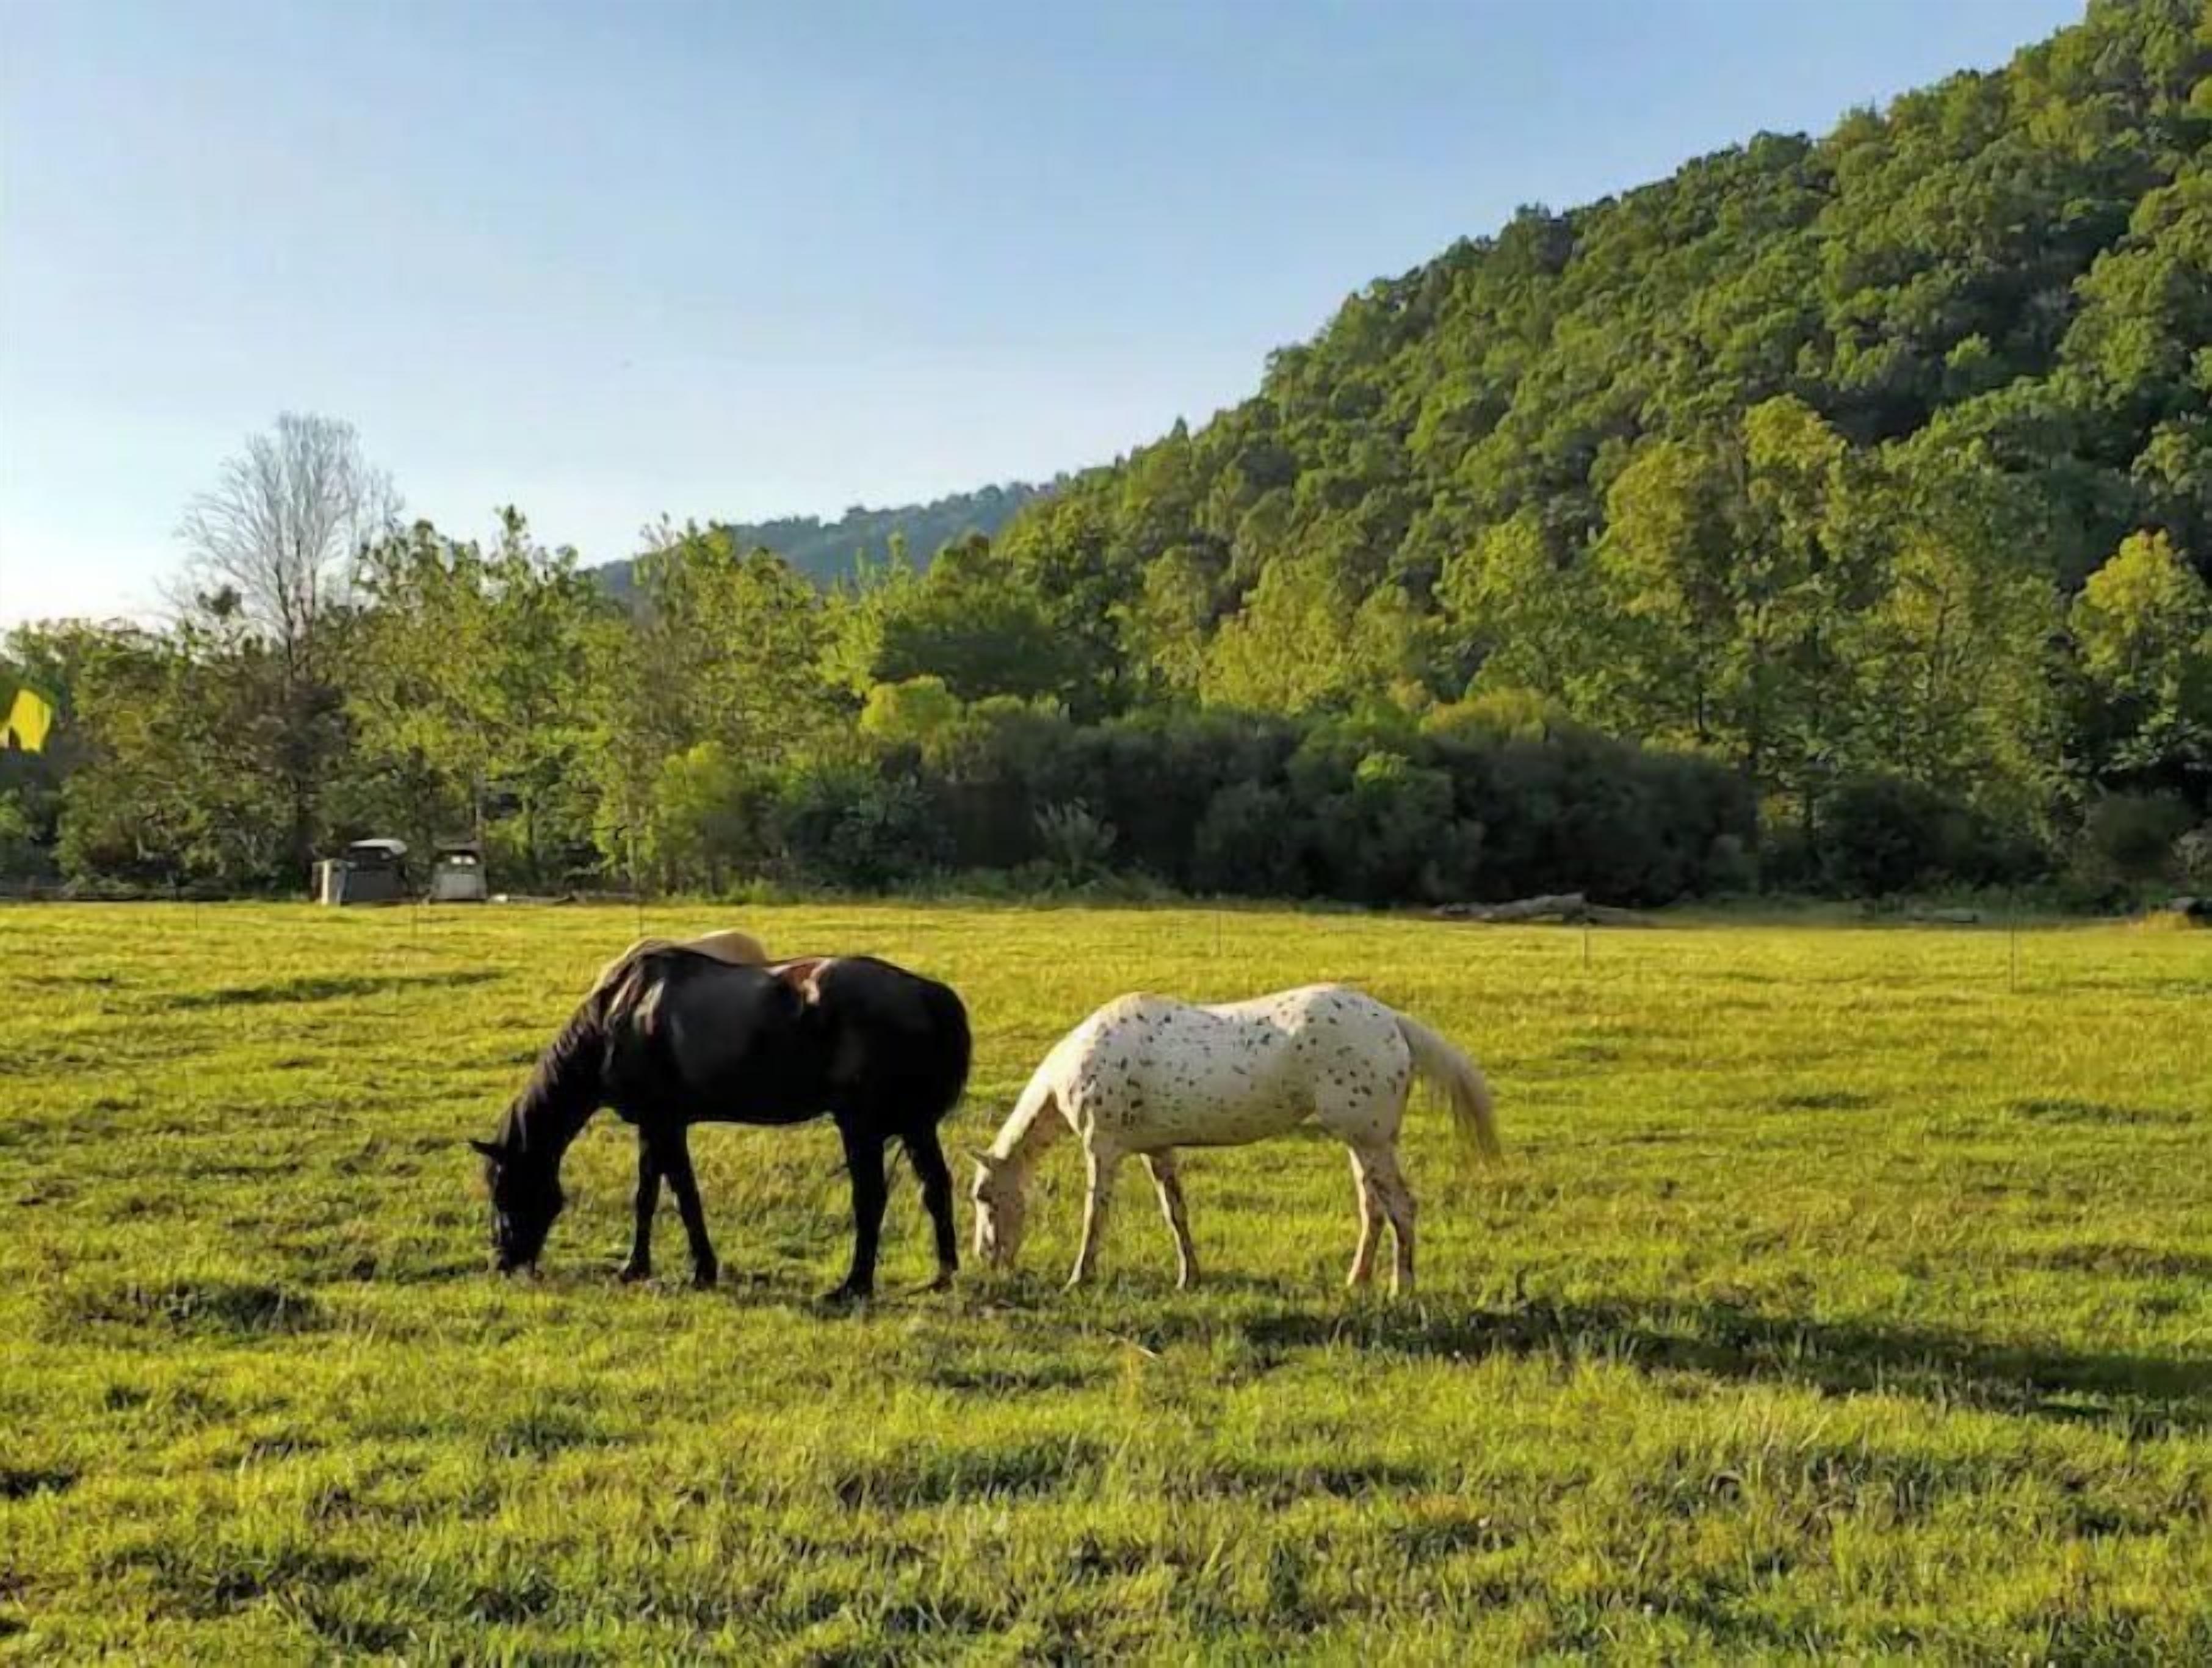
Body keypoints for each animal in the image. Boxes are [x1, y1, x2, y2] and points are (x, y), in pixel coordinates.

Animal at [471, 946, 971, 1304]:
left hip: (861, 1128)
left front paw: (697, 1271)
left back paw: (854, 1286)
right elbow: (650, 1195)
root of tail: (926, 994)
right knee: (935, 1188)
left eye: (504, 1188)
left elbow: (681, 1196)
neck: (619, 1014)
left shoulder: (664, 1122)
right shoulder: (656, 1125)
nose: (503, 1262)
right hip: (915, 1126)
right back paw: (943, 1276)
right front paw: (639, 1267)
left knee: (871, 1200)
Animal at [969, 984, 1499, 1295]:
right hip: (1362, 1144)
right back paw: (1357, 1281)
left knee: (1402, 1208)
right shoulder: (1157, 1151)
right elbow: (1176, 1213)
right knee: (1375, 1209)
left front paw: (1080, 1277)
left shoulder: (1105, 1149)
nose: (986, 1258)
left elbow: (1094, 1216)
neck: (1085, 1060)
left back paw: (1400, 1288)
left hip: (1371, 1143)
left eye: (984, 1198)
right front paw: (1190, 1276)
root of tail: (1392, 1022)